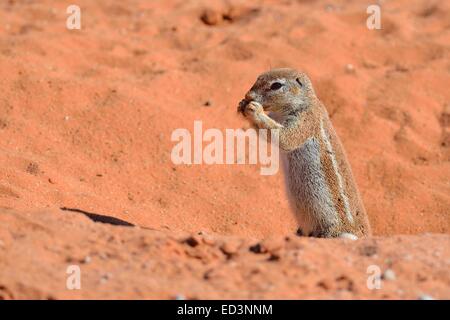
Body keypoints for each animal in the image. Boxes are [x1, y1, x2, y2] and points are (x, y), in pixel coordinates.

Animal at [241, 67, 370, 238]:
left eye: (276, 85)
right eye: (258, 78)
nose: (248, 95)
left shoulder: (306, 119)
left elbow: (286, 138)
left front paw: (254, 110)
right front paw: (242, 105)